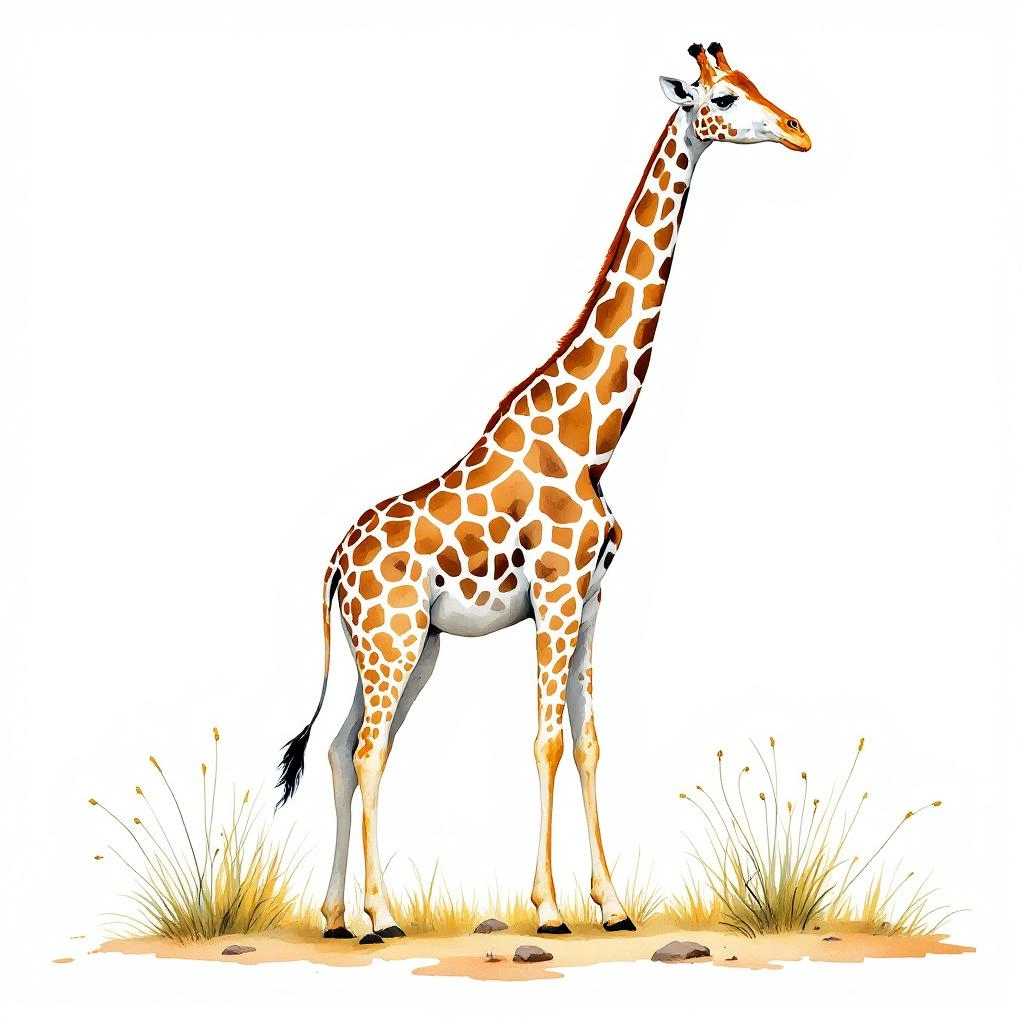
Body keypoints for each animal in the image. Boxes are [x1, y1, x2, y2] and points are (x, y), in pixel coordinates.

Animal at [276, 42, 811, 940]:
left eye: (760, 82)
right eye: (729, 98)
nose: (801, 132)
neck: (593, 441)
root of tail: (335, 565)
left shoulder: (591, 601)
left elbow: (588, 741)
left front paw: (615, 905)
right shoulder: (555, 597)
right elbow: (545, 742)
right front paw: (552, 908)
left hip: (406, 646)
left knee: (342, 746)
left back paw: (334, 915)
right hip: (391, 641)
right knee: (368, 748)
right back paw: (380, 915)